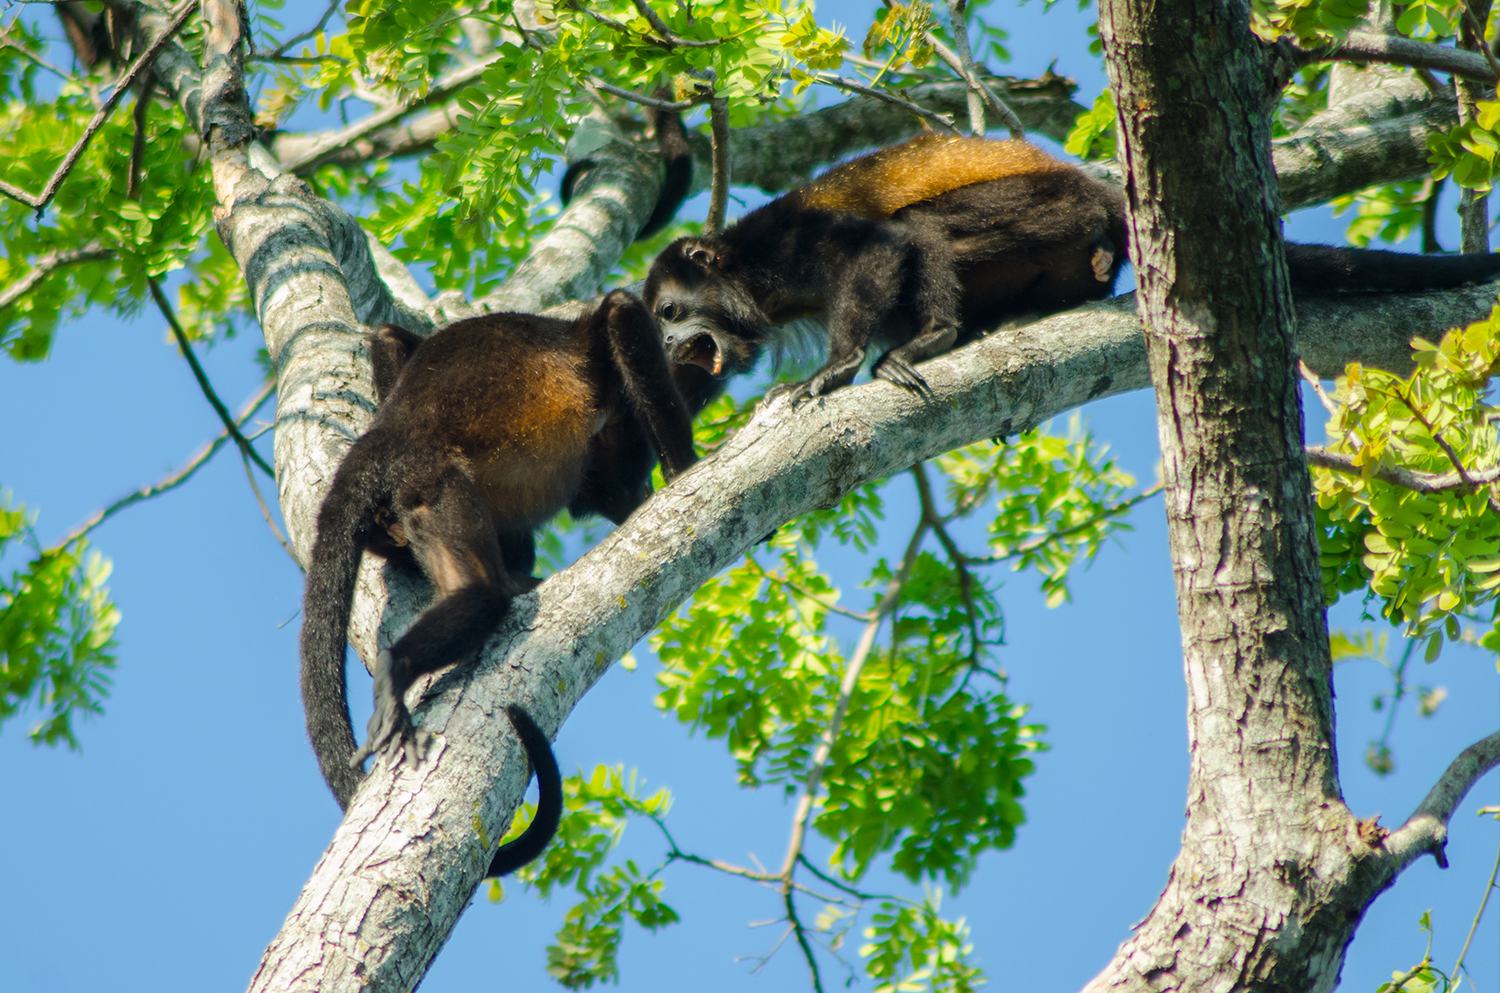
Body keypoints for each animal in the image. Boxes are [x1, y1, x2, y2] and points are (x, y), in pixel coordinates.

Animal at [300, 290, 712, 877]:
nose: (632, 493)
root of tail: (388, 433)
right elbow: (619, 311)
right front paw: (683, 467)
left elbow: (388, 337)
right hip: (433, 481)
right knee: (480, 592)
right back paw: (399, 666)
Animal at [642, 133, 1500, 403]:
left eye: (669, 313)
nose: (665, 347)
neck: (746, 272)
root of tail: (1101, 192)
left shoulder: (792, 242)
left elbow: (880, 247)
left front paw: (836, 366)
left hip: (1047, 208)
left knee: (917, 227)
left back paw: (934, 336)